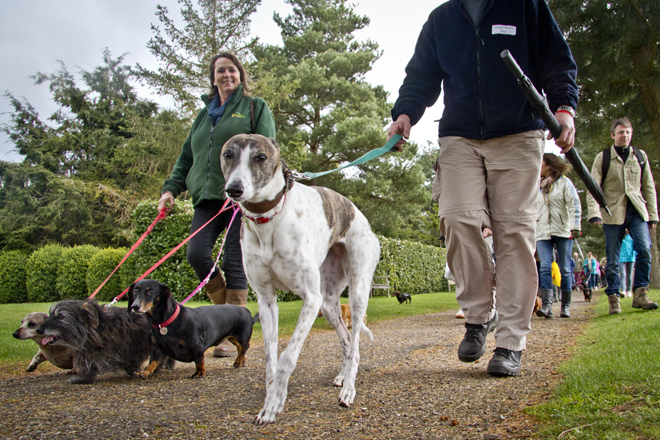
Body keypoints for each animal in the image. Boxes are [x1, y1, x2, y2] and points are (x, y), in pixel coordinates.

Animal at [129, 278, 258, 378]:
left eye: (151, 291)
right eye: (135, 291)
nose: (135, 306)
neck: (166, 323)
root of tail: (246, 311)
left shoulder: (197, 346)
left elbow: (199, 360)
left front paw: (199, 372)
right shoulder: (156, 346)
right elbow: (153, 360)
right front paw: (145, 372)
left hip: (241, 336)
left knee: (245, 346)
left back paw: (238, 361)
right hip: (232, 337)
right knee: (240, 348)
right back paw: (241, 360)